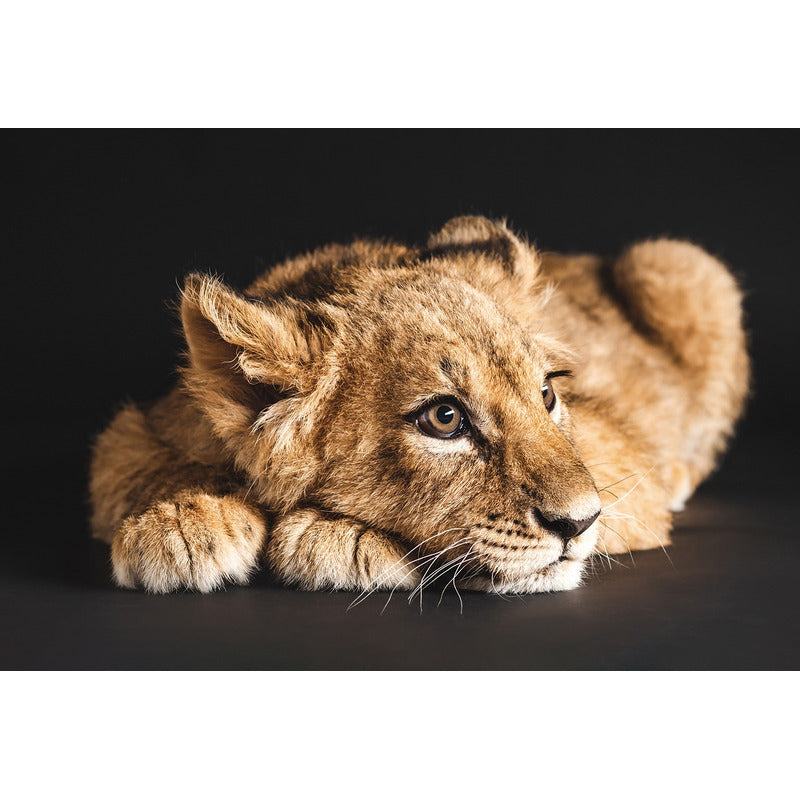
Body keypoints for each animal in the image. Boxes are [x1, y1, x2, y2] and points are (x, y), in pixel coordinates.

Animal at [89, 216, 749, 596]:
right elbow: (142, 464)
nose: (579, 524)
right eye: (445, 418)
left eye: (547, 395)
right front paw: (180, 526)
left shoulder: (620, 451)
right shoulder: (142, 424)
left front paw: (333, 538)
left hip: (683, 265)